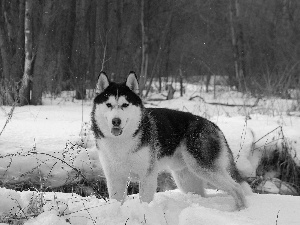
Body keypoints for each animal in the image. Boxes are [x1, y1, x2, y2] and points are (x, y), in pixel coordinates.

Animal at [91, 71, 248, 210]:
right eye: (108, 104)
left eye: (125, 105)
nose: (116, 121)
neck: (122, 141)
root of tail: (214, 125)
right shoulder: (114, 177)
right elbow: (116, 201)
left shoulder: (147, 175)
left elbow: (145, 201)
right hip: (186, 179)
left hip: (204, 168)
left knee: (237, 187)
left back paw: (240, 210)